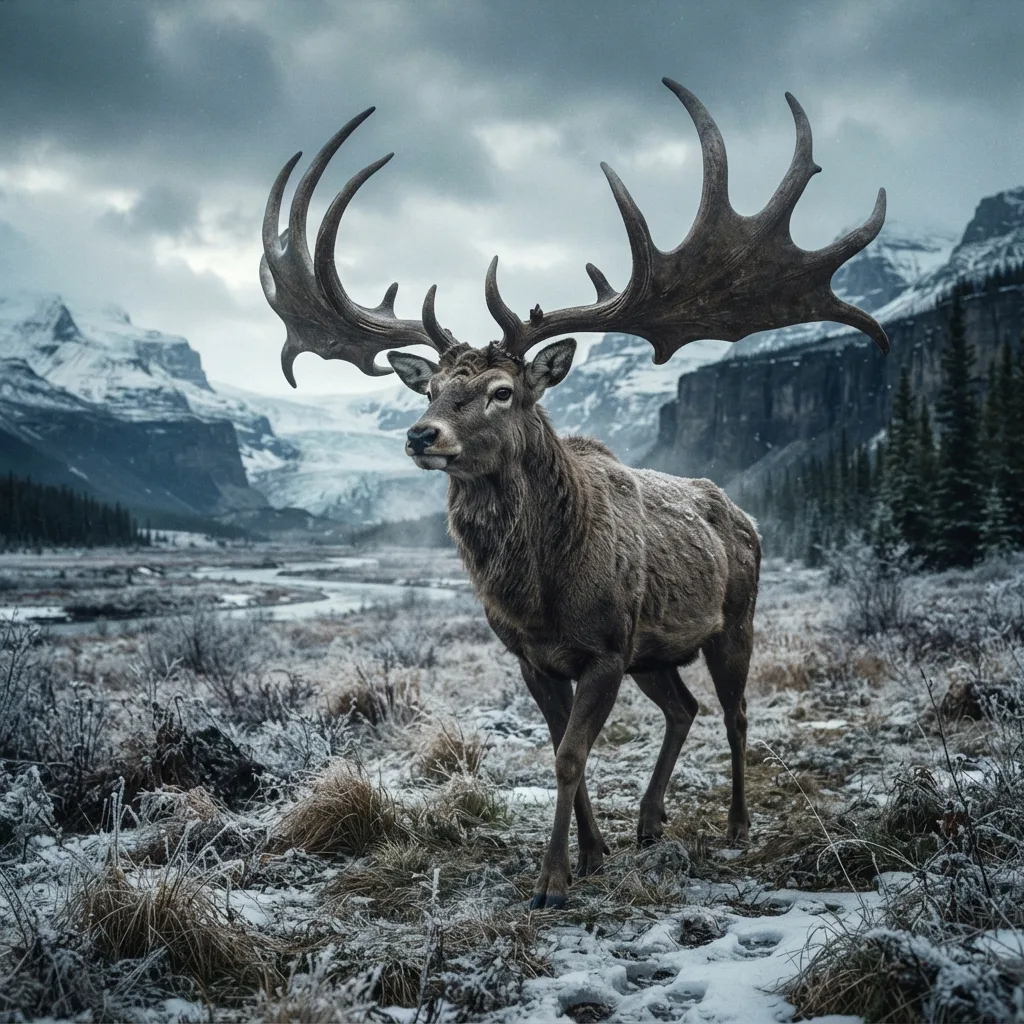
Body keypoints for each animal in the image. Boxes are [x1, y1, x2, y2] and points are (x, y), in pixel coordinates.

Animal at [260, 78, 889, 908]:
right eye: (430, 387)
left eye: (500, 391)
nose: (422, 435)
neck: (541, 591)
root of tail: (741, 513)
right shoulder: (536, 657)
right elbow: (564, 749)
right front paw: (594, 853)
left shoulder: (605, 648)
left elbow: (568, 756)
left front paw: (554, 878)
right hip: (657, 650)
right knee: (685, 708)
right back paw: (650, 821)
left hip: (735, 618)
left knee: (736, 712)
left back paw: (735, 823)